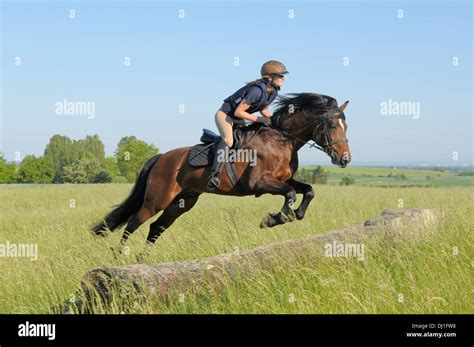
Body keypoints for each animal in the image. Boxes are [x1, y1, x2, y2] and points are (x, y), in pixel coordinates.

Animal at [91, 93, 352, 250]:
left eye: (345, 125)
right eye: (331, 125)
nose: (345, 159)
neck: (282, 140)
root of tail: (160, 158)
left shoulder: (285, 179)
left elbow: (308, 190)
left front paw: (294, 215)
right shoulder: (259, 183)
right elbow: (289, 194)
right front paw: (273, 219)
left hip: (183, 201)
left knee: (156, 228)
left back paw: (142, 258)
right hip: (157, 200)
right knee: (133, 222)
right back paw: (119, 255)